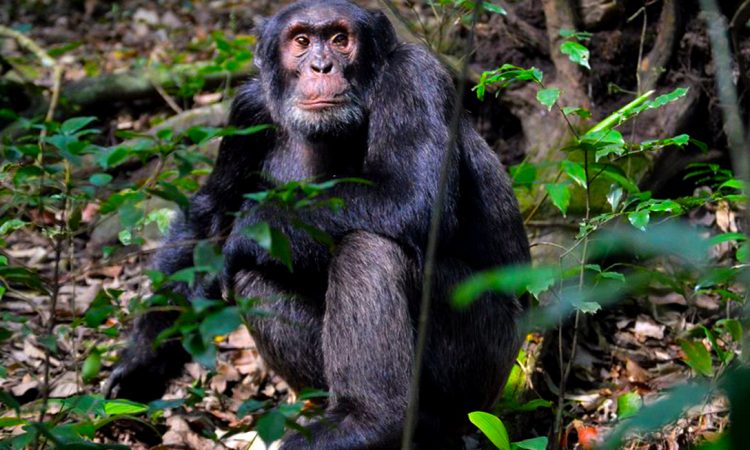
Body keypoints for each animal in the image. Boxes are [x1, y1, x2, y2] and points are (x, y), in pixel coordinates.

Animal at [106, 0, 532, 446]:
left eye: (340, 39)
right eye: (301, 40)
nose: (321, 65)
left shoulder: (415, 78)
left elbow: (414, 195)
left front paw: (246, 232)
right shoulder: (246, 110)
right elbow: (208, 215)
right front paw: (141, 364)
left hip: (482, 367)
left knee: (369, 247)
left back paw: (365, 420)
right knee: (252, 278)